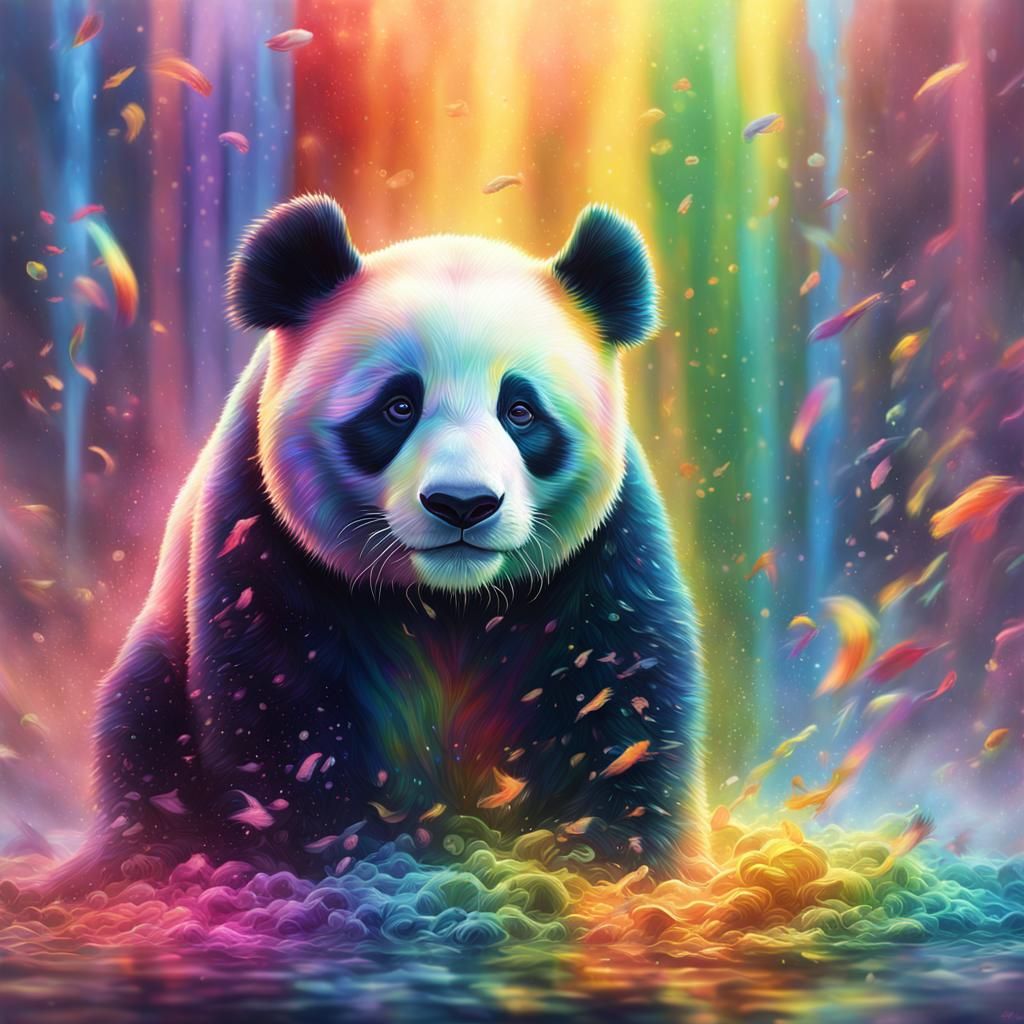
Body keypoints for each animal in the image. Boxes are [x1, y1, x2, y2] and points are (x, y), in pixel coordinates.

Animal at [53, 194, 707, 893]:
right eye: (397, 406)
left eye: (520, 410)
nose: (462, 504)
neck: (450, 601)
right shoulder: (261, 536)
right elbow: (280, 712)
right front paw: (345, 859)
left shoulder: (604, 556)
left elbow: (621, 699)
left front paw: (607, 860)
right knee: (141, 727)